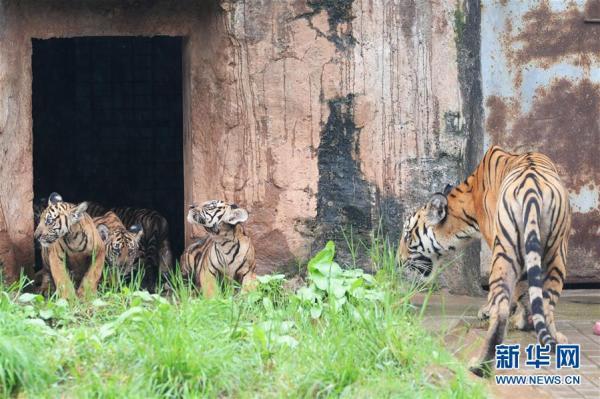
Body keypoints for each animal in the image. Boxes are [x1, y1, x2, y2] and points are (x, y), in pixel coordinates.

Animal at [398, 147, 572, 378]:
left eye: (408, 236)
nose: (398, 261)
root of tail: (532, 191)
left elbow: (516, 292)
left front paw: (491, 311)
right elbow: (527, 292)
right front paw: (525, 321)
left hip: (505, 251)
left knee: (502, 308)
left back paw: (480, 365)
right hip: (556, 253)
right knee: (546, 303)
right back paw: (554, 340)